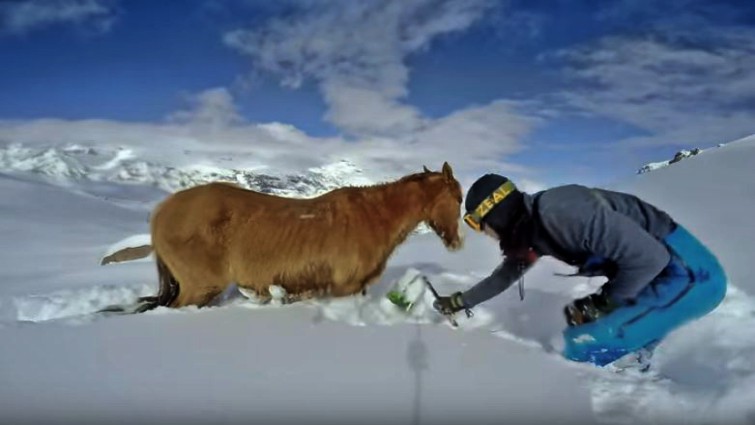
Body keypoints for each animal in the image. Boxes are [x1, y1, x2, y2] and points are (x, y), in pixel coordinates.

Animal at [108, 162, 464, 313]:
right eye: (459, 198)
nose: (457, 243)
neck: (373, 216)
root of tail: (161, 213)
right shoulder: (344, 287)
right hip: (200, 287)